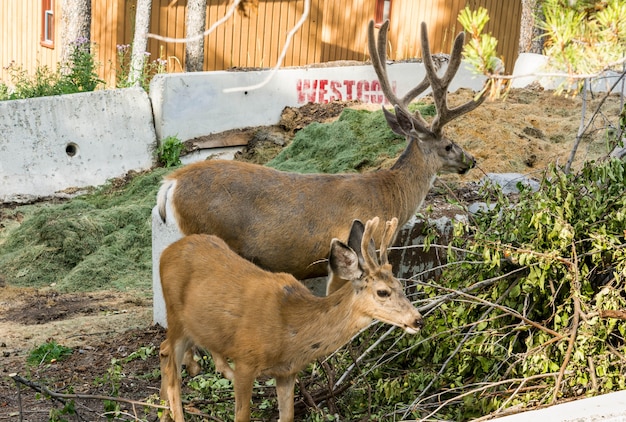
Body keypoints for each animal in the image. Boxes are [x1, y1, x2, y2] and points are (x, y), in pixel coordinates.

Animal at [158, 218, 422, 422]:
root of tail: (165, 252)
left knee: (165, 351)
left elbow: (287, 416)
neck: (291, 330)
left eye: (401, 285)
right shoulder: (245, 360)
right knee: (173, 370)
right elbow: (242, 415)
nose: (417, 320)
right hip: (174, 315)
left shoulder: (287, 372)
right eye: (382, 292)